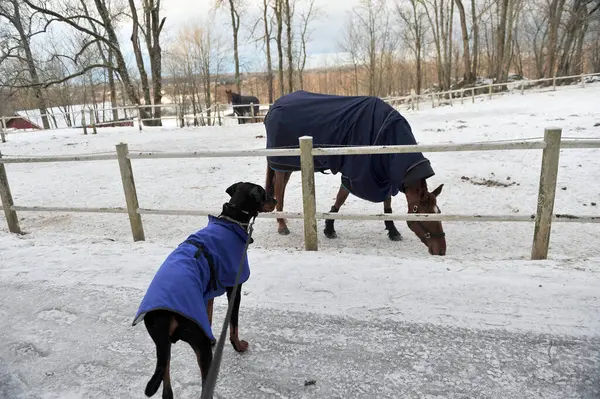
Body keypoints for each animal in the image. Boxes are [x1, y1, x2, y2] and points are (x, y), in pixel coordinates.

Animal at [131, 183, 276, 398]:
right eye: (264, 193)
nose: (275, 200)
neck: (232, 220)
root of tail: (164, 314)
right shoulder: (234, 289)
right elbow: (233, 325)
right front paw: (238, 346)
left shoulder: (207, 295)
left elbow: (209, 314)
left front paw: (215, 338)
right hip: (198, 345)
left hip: (162, 347)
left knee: (166, 386)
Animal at [262, 90, 446, 256]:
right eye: (425, 214)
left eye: (438, 212)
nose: (441, 250)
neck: (387, 137)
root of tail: (274, 106)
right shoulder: (356, 174)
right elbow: (341, 198)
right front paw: (329, 228)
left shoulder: (382, 175)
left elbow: (387, 203)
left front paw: (393, 230)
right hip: (281, 163)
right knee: (279, 188)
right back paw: (282, 225)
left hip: (287, 165)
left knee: (280, 188)